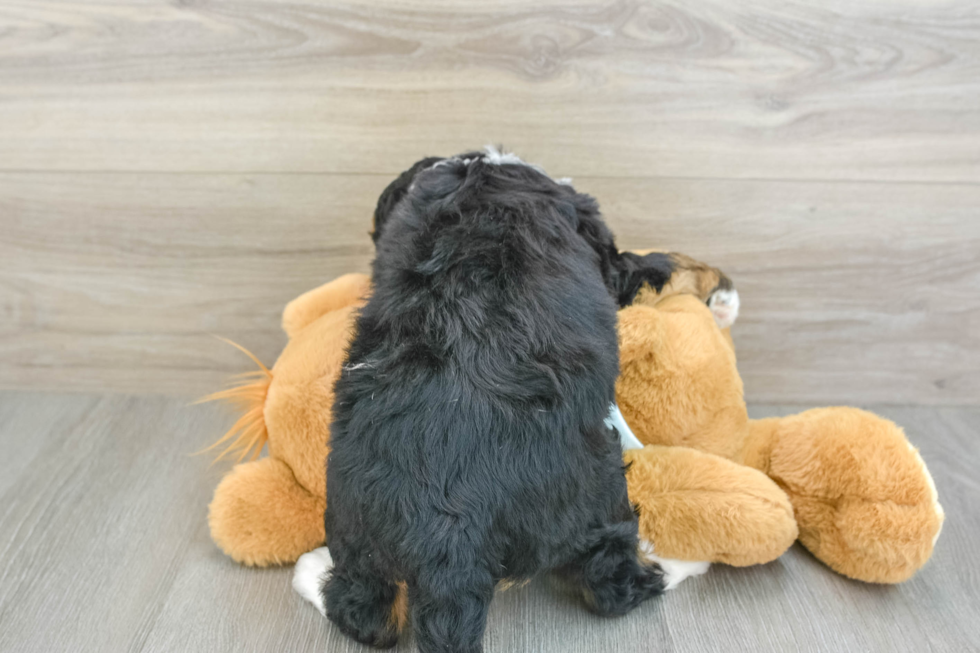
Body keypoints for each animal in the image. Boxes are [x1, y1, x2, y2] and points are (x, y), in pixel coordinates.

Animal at [322, 149, 668, 652]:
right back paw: (648, 578)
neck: (483, 172)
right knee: (609, 571)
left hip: (355, 529)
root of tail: (448, 540)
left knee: (362, 607)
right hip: (597, 492)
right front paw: (657, 264)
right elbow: (621, 266)